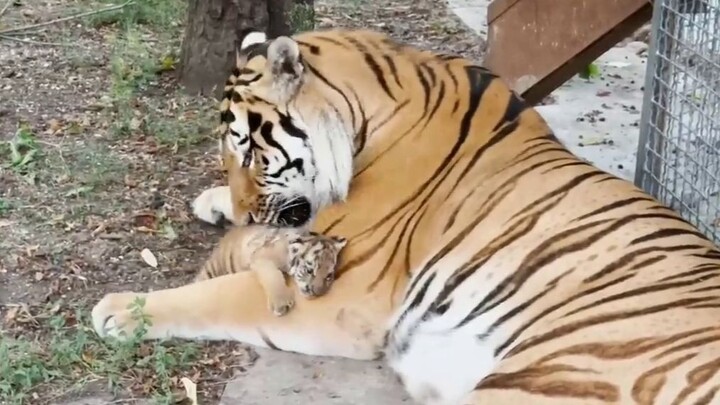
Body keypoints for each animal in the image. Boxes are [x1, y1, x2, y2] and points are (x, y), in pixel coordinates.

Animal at [91, 28, 720, 405]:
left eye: (248, 150)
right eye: (228, 153)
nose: (244, 209)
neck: (365, 120)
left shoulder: (344, 295)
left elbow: (215, 295)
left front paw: (119, 309)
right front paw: (215, 202)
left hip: (547, 382)